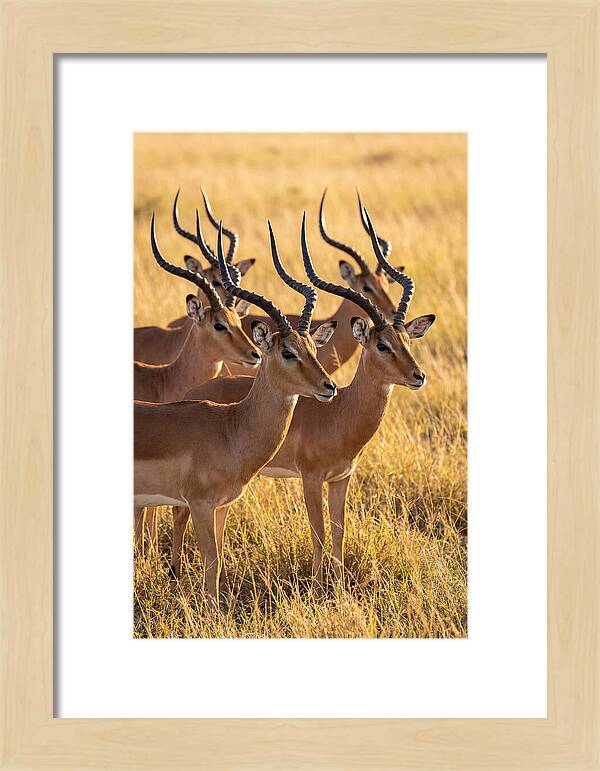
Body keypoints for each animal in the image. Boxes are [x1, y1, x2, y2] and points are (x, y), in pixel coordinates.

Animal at [180, 209, 435, 589]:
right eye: (381, 344)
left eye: (407, 340)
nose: (418, 376)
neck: (341, 413)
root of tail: (195, 392)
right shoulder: (311, 478)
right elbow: (318, 534)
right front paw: (316, 589)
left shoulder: (341, 478)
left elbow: (339, 531)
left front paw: (340, 588)